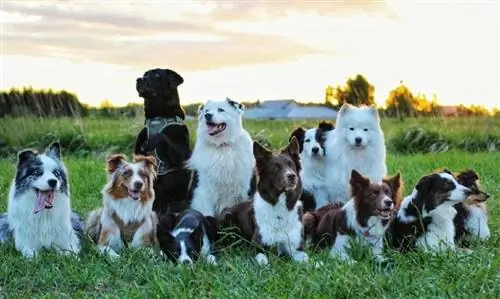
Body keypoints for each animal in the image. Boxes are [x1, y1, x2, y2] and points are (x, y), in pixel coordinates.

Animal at [135, 68, 193, 216]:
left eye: (157, 75)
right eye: (144, 74)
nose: (138, 79)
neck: (157, 116)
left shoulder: (183, 154)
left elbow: (161, 136)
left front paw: (153, 140)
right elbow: (141, 135)